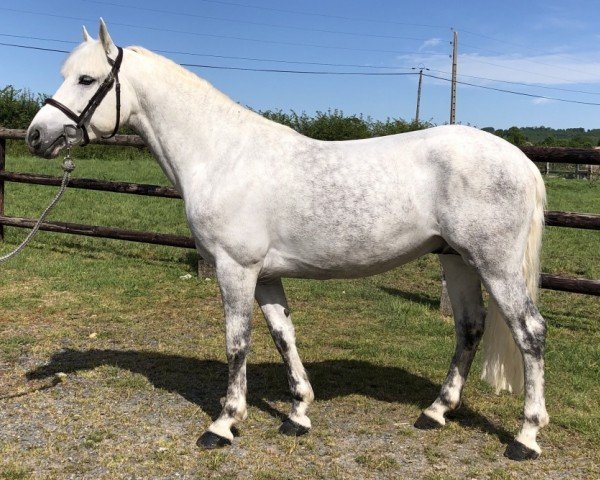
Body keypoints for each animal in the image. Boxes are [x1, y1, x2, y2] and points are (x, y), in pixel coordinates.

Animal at [27, 20, 548, 460]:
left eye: (87, 79)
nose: (36, 136)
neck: (221, 155)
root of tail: (520, 160)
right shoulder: (264, 276)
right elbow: (283, 337)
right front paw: (298, 413)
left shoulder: (235, 269)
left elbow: (237, 342)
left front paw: (223, 424)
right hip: (456, 259)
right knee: (470, 328)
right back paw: (436, 412)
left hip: (494, 264)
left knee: (530, 333)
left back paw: (525, 437)